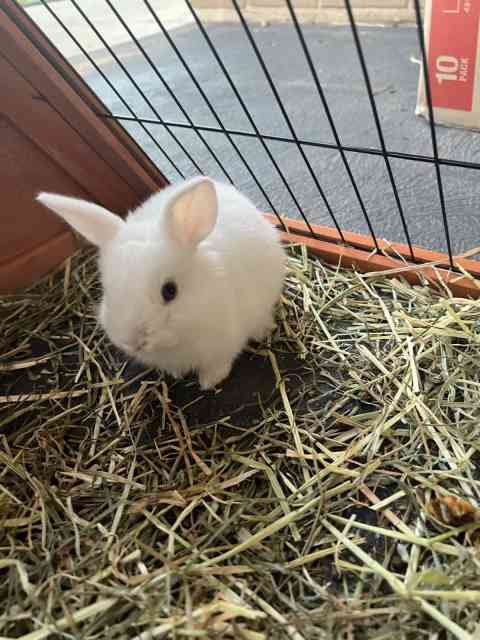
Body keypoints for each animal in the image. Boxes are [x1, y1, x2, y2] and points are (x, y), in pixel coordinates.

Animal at [36, 177, 286, 389]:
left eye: (169, 291)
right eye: (108, 290)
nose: (133, 342)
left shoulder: (224, 344)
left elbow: (219, 364)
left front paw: (209, 382)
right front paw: (177, 374)